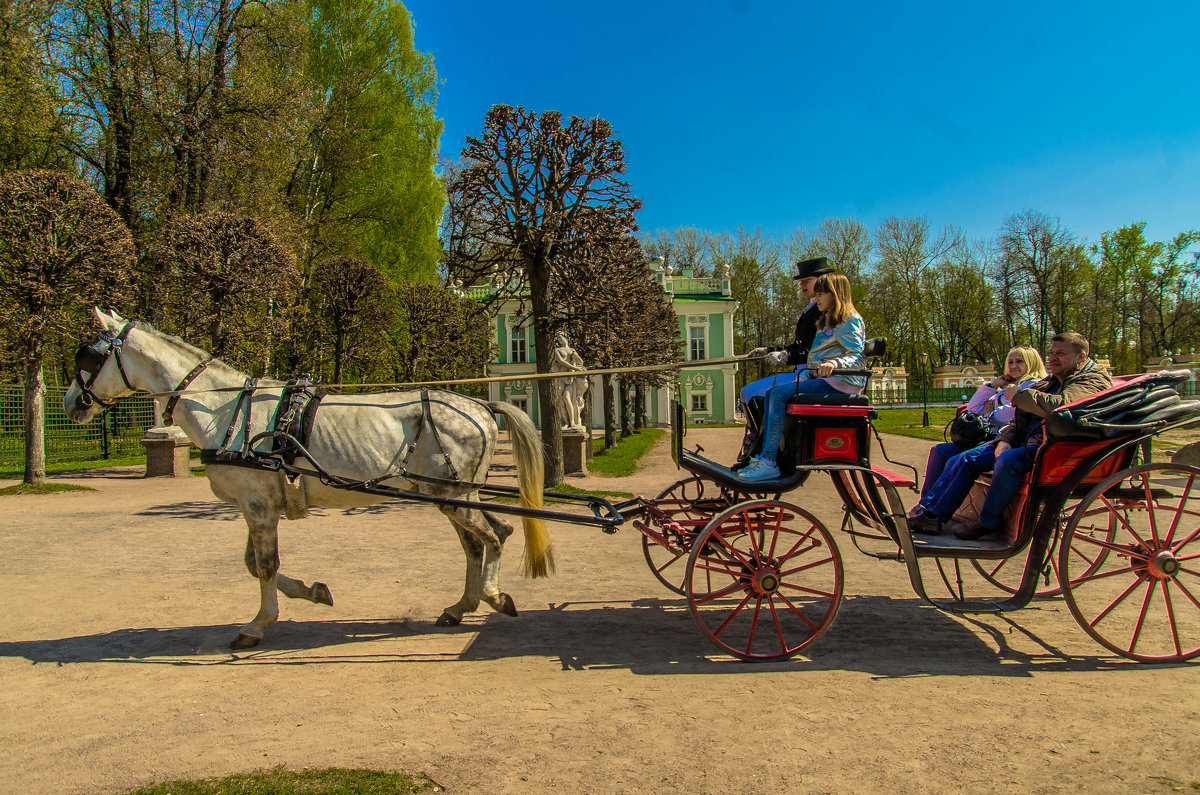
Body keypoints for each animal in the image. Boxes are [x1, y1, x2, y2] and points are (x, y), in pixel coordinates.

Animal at [65, 307, 552, 653]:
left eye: (88, 356)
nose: (72, 402)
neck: (225, 409)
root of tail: (481, 406)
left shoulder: (258, 504)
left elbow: (264, 565)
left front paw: (257, 625)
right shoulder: (257, 505)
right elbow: (254, 564)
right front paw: (315, 592)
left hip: (451, 494)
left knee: (494, 536)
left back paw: (492, 596)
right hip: (455, 497)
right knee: (483, 541)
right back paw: (460, 607)